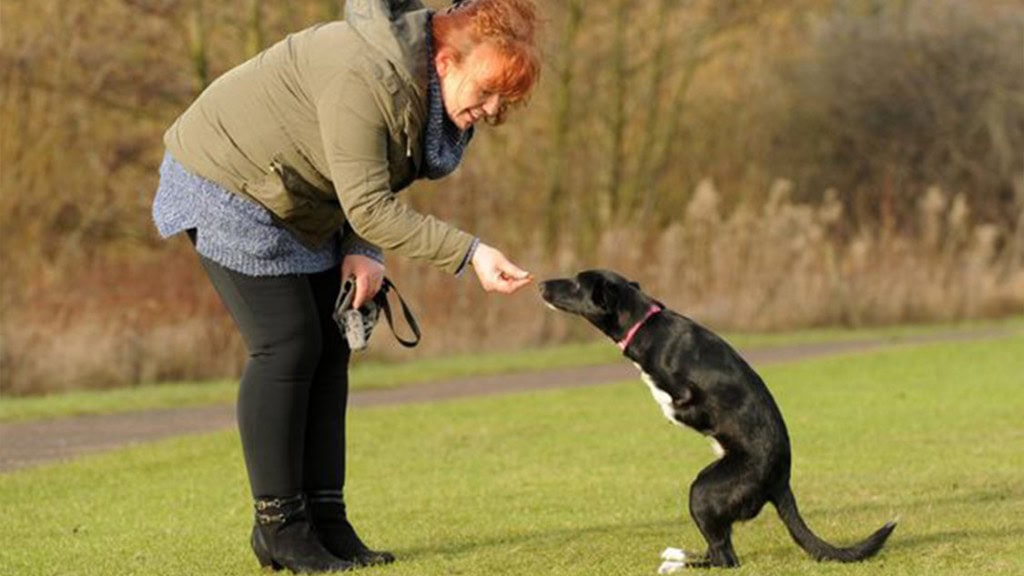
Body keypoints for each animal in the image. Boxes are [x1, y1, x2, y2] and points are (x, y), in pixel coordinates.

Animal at [536, 268, 897, 565]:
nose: (540, 284)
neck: (645, 323)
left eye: (576, 283)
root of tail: (781, 483)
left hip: (703, 492)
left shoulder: (692, 402)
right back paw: (676, 557)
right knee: (717, 552)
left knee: (725, 558)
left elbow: (668, 402)